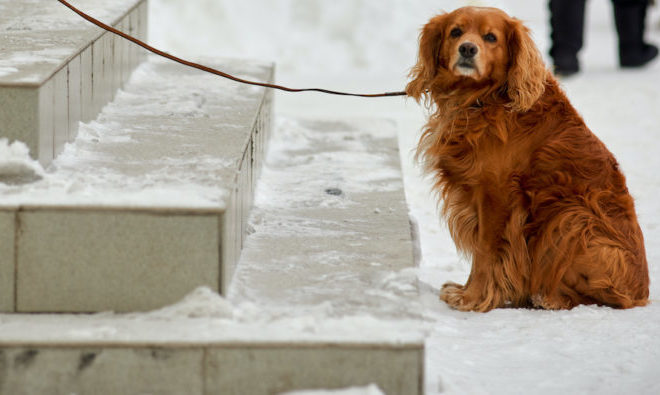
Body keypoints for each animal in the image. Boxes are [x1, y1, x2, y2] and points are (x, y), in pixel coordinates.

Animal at [408, 4, 648, 310]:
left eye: (490, 37)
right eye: (456, 31)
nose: (467, 49)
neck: (482, 100)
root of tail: (641, 293)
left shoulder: (496, 195)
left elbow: (485, 252)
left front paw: (474, 299)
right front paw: (470, 292)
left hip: (571, 217)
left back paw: (548, 298)